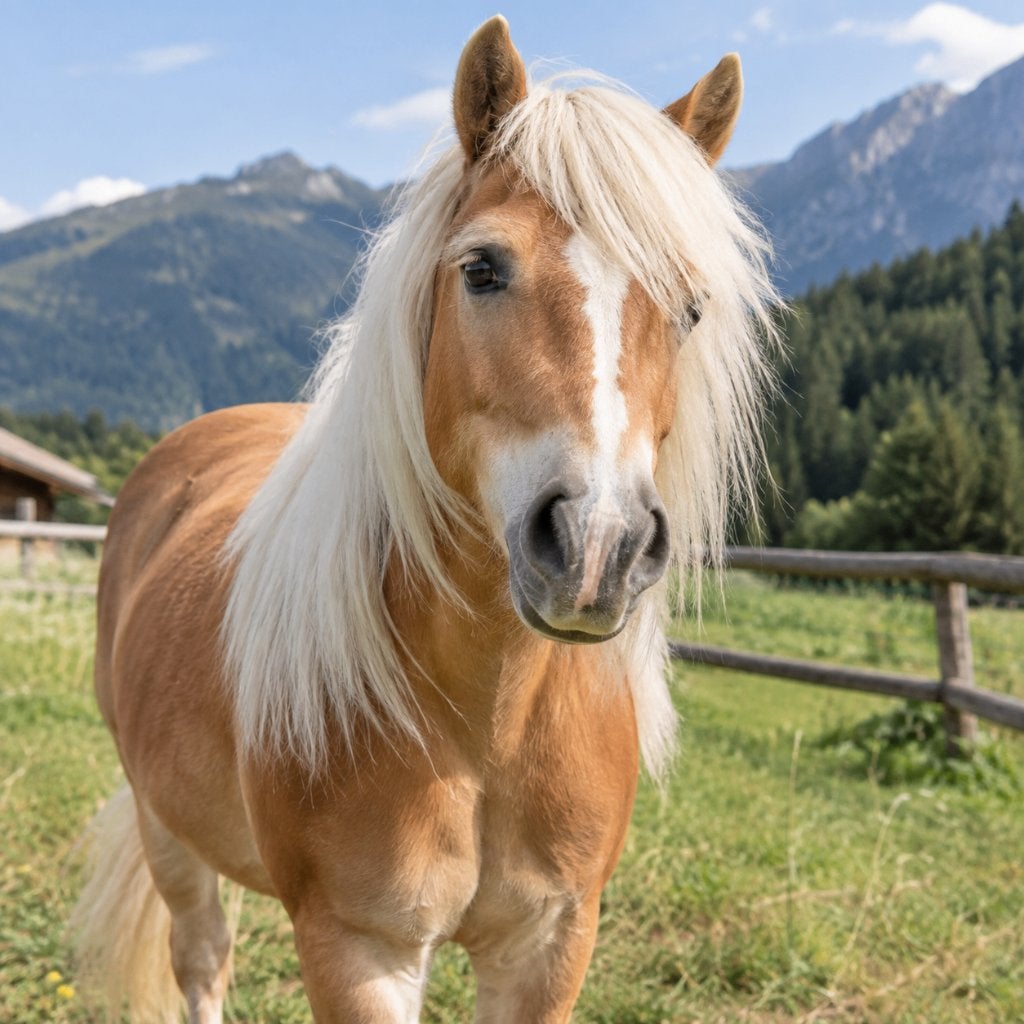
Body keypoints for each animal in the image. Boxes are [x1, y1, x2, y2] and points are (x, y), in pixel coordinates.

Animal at [71, 16, 778, 1023]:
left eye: (690, 307)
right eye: (481, 268)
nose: (596, 546)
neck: (490, 724)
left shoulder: (550, 945)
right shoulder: (359, 948)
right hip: (167, 830)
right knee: (200, 959)